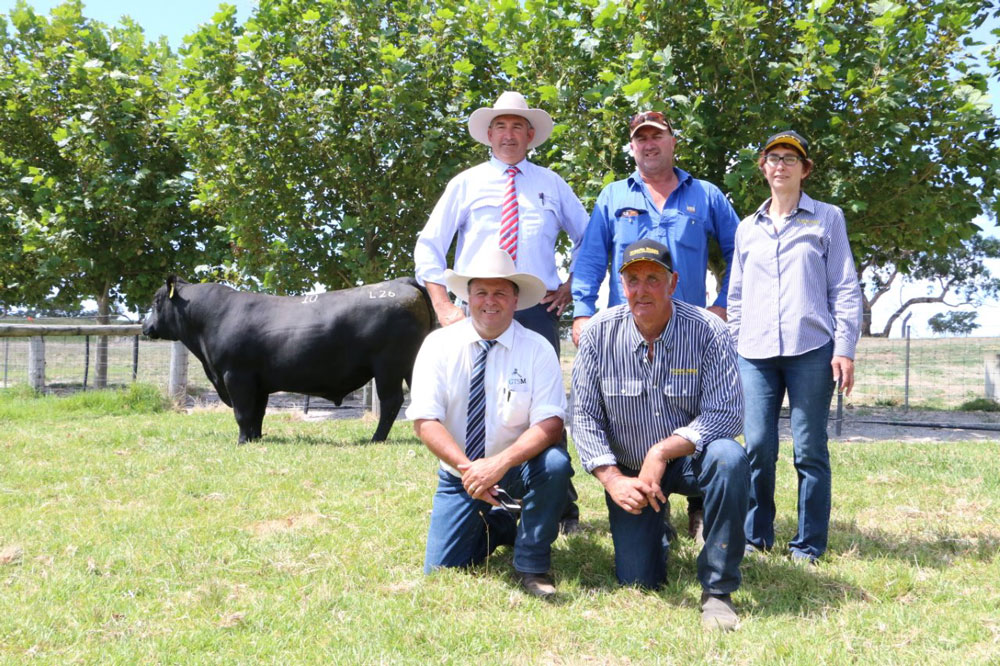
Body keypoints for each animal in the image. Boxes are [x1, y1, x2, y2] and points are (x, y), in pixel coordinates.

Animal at [142, 274, 434, 440]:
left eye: (156, 301)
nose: (146, 327)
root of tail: (401, 283)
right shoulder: (258, 383)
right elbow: (257, 413)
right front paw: (256, 439)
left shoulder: (236, 375)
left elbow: (242, 413)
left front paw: (242, 441)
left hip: (389, 365)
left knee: (391, 402)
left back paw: (376, 438)